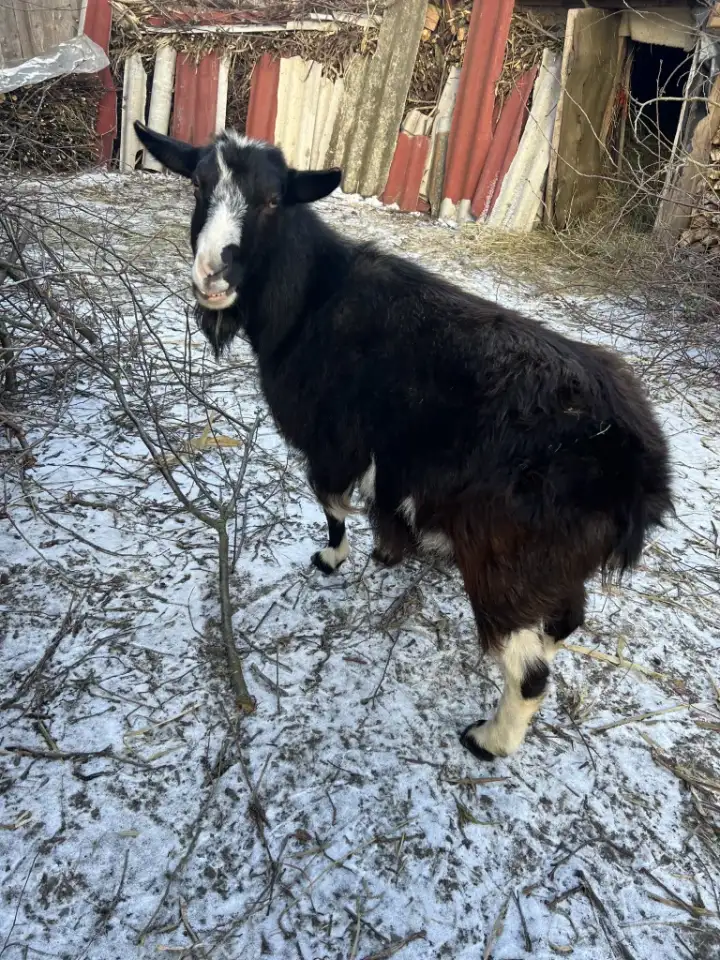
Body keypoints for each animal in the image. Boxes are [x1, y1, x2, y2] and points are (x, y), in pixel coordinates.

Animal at [136, 122, 673, 762]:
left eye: (272, 200)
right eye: (198, 185)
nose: (212, 275)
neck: (313, 297)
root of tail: (640, 475)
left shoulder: (333, 442)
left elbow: (333, 504)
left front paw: (334, 558)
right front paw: (386, 552)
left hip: (507, 561)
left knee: (529, 672)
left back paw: (488, 740)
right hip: (557, 566)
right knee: (564, 621)